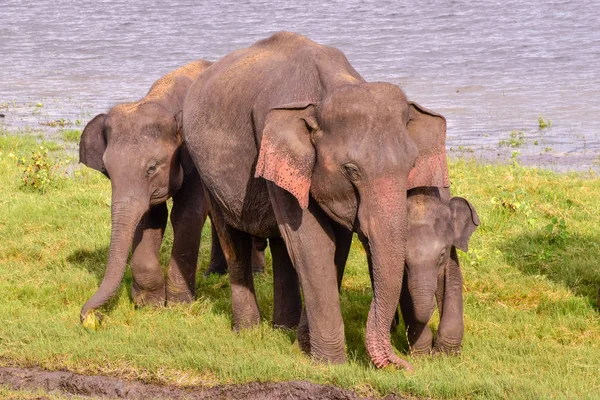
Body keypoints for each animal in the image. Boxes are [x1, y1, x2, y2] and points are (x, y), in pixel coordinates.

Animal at [78, 58, 212, 324]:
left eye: (152, 167)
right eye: (107, 170)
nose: (88, 316)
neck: (161, 100)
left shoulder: (194, 161)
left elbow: (187, 215)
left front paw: (179, 305)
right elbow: (151, 218)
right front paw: (149, 304)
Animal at [185, 32, 448, 368]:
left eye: (412, 164)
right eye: (351, 170)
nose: (403, 364)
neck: (330, 89)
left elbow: (335, 245)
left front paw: (305, 346)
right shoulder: (274, 148)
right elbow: (314, 244)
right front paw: (330, 363)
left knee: (283, 246)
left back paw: (282, 328)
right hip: (207, 172)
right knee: (234, 240)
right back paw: (248, 331)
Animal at [400, 188, 480, 356]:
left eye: (442, 254)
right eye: (405, 261)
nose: (431, 306)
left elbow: (453, 280)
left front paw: (446, 354)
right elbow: (402, 292)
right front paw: (421, 355)